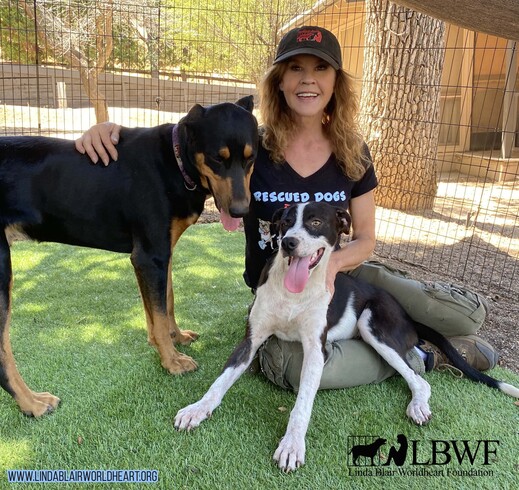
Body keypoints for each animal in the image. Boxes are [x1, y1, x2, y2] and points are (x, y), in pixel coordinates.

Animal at [0, 96, 258, 417]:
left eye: (250, 158)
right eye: (217, 158)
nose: (240, 211)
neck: (175, 163)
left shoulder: (160, 254)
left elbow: (166, 304)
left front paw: (175, 339)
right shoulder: (149, 256)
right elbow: (159, 313)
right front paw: (172, 361)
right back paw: (32, 403)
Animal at [174, 201, 519, 472]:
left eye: (315, 222)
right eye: (284, 222)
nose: (288, 243)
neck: (293, 294)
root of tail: (407, 315)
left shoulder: (316, 351)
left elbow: (302, 404)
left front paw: (292, 445)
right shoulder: (251, 340)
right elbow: (219, 383)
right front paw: (196, 409)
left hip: (372, 325)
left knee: (418, 377)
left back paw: (419, 403)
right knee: (417, 356)